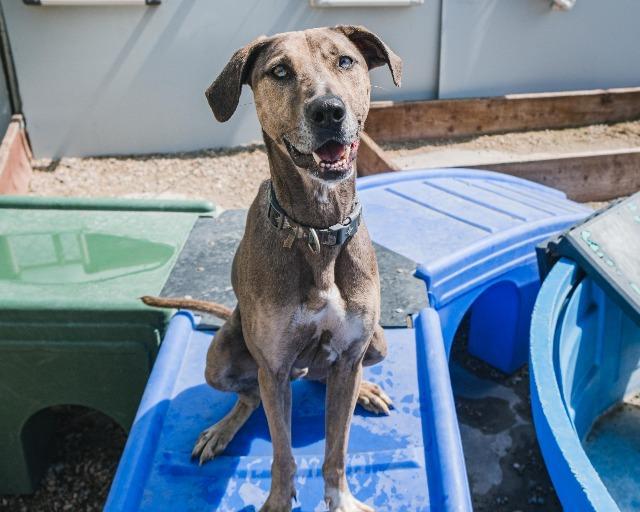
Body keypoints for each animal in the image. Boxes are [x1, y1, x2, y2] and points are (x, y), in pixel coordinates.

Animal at [144, 26, 400, 512]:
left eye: (345, 61)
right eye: (279, 71)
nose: (328, 111)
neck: (317, 229)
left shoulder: (349, 354)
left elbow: (336, 451)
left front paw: (341, 499)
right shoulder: (276, 369)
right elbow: (283, 454)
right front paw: (280, 500)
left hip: (375, 343)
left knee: (335, 378)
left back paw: (367, 392)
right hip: (221, 358)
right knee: (248, 396)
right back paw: (221, 430)